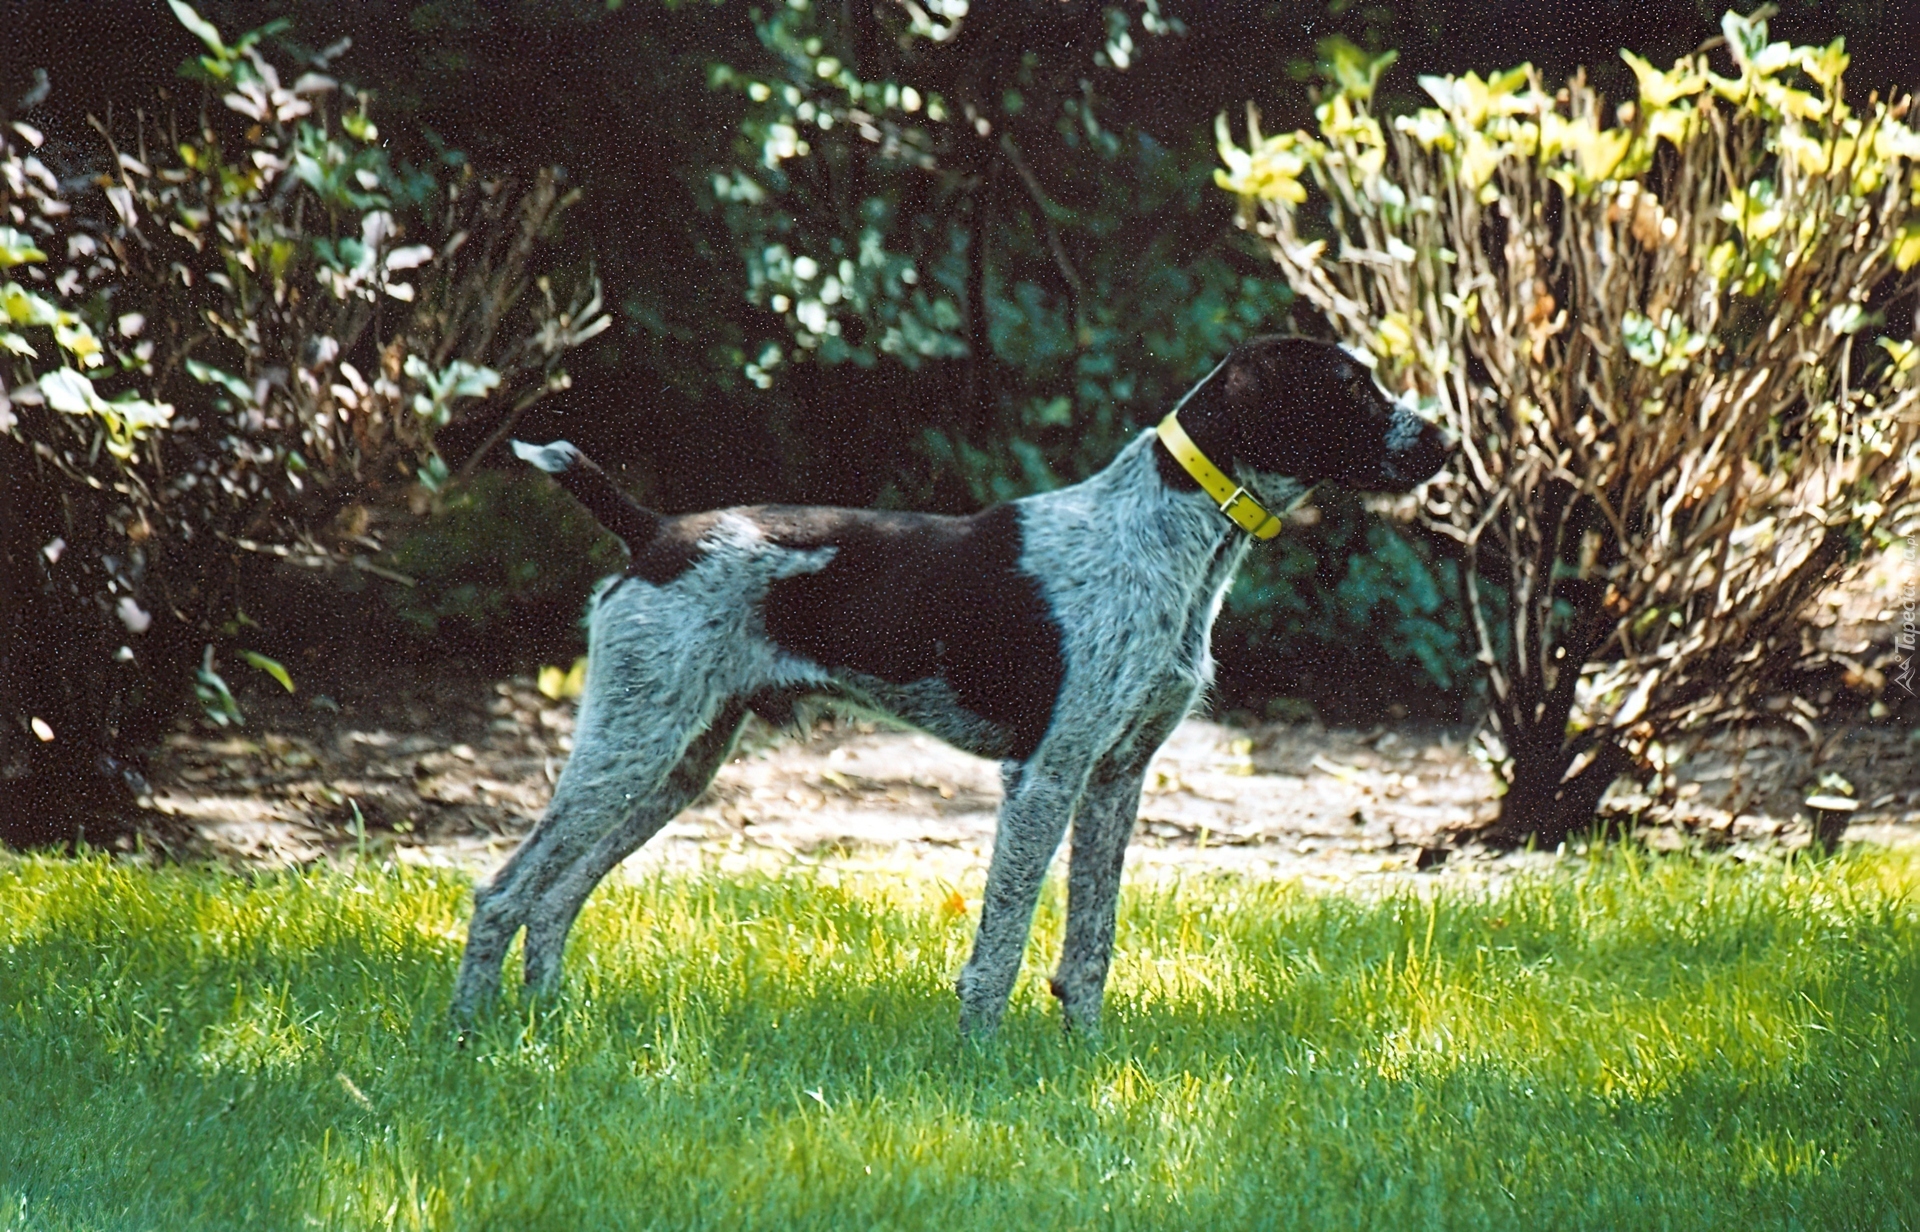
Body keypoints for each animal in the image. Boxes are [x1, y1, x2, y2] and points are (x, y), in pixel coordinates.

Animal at [445, 337, 1443, 1036]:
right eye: (1353, 388)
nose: (1442, 437)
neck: (1171, 533)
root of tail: (650, 531)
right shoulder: (1046, 774)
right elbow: (1003, 940)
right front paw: (981, 1059)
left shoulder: (1117, 779)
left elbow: (1091, 945)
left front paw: (1087, 1055)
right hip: (630, 746)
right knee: (504, 894)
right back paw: (469, 1035)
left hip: (675, 762)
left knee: (555, 898)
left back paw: (547, 1023)